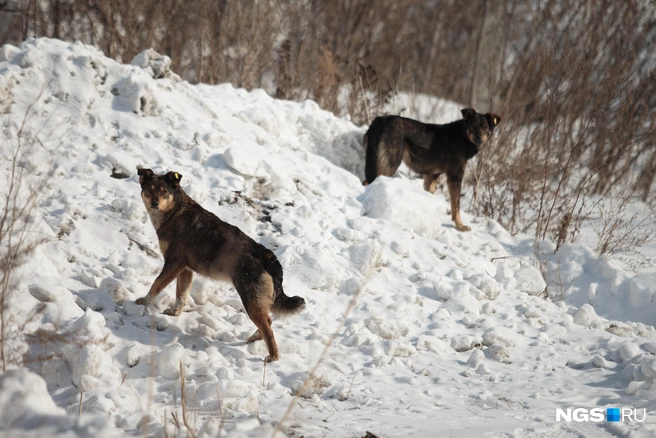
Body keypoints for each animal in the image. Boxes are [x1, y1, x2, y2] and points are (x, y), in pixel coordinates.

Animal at [137, 169, 306, 362]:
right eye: (150, 190)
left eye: (164, 191)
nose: (155, 203)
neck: (175, 212)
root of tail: (267, 255)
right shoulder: (185, 269)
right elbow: (181, 295)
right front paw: (175, 312)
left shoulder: (174, 263)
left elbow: (156, 285)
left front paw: (143, 301)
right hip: (256, 302)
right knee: (268, 323)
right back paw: (255, 338)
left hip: (250, 301)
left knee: (268, 329)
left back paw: (272, 358)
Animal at [364, 109, 502, 231]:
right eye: (473, 126)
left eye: (485, 127)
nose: (479, 138)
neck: (462, 136)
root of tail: (381, 120)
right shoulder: (455, 177)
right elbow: (456, 206)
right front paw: (460, 226)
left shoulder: (431, 177)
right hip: (389, 165)